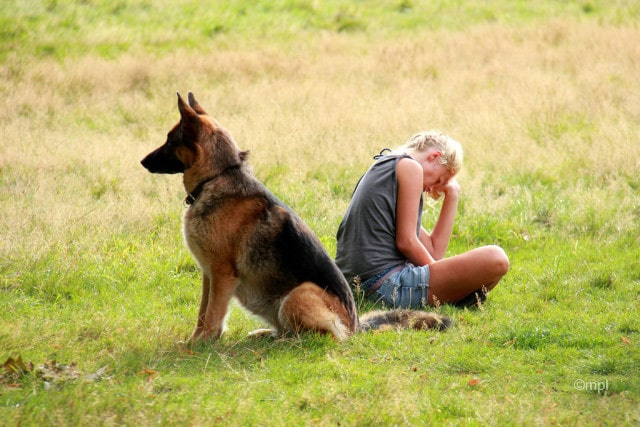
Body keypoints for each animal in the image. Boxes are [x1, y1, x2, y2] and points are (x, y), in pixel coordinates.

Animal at [140, 93, 450, 344]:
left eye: (170, 140)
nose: (142, 161)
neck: (217, 176)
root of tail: (355, 327)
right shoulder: (209, 274)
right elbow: (202, 313)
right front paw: (195, 341)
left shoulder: (221, 274)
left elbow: (213, 316)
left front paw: (201, 345)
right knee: (289, 330)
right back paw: (266, 335)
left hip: (297, 295)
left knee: (320, 337)